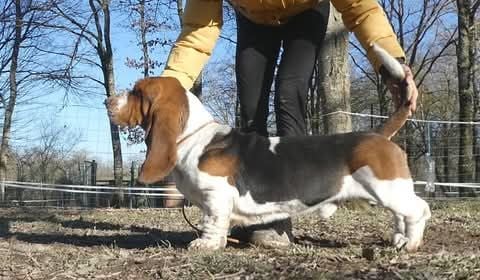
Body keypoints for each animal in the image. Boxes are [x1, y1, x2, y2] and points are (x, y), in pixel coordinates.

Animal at [108, 45, 432, 252]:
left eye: (137, 92)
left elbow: (212, 222)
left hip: (388, 189)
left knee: (419, 210)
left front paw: (206, 245)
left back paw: (412, 244)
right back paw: (400, 239)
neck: (195, 136)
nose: (108, 101)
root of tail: (378, 134)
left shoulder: (215, 197)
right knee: (401, 216)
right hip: (391, 193)